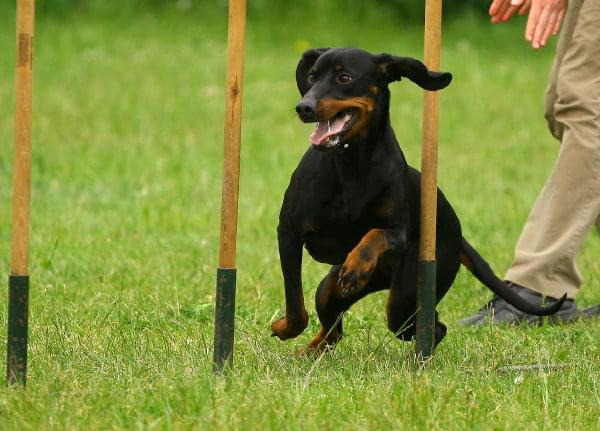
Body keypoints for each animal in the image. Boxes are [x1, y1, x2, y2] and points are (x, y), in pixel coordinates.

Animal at [272, 47, 564, 352]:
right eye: (312, 76)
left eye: (344, 77)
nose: (304, 107)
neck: (350, 162)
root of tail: (458, 235)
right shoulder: (288, 233)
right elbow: (296, 306)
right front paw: (283, 327)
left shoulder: (399, 231)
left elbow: (376, 235)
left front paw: (356, 265)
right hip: (331, 291)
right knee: (334, 326)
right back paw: (308, 352)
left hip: (407, 292)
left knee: (430, 325)